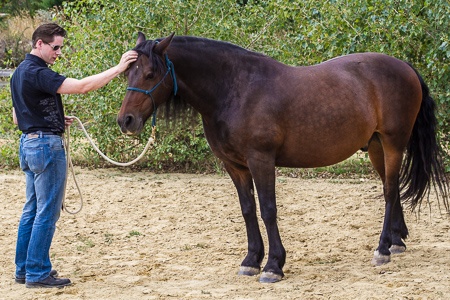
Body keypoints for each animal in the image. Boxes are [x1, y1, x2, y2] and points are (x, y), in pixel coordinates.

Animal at [118, 33, 448, 284]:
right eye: (127, 73)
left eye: (150, 74)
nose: (126, 121)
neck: (235, 89)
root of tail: (404, 66)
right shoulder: (235, 166)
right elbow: (248, 210)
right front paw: (251, 260)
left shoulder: (260, 160)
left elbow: (268, 210)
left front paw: (273, 266)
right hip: (377, 147)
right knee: (390, 189)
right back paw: (396, 242)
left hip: (393, 144)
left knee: (390, 191)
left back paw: (382, 249)